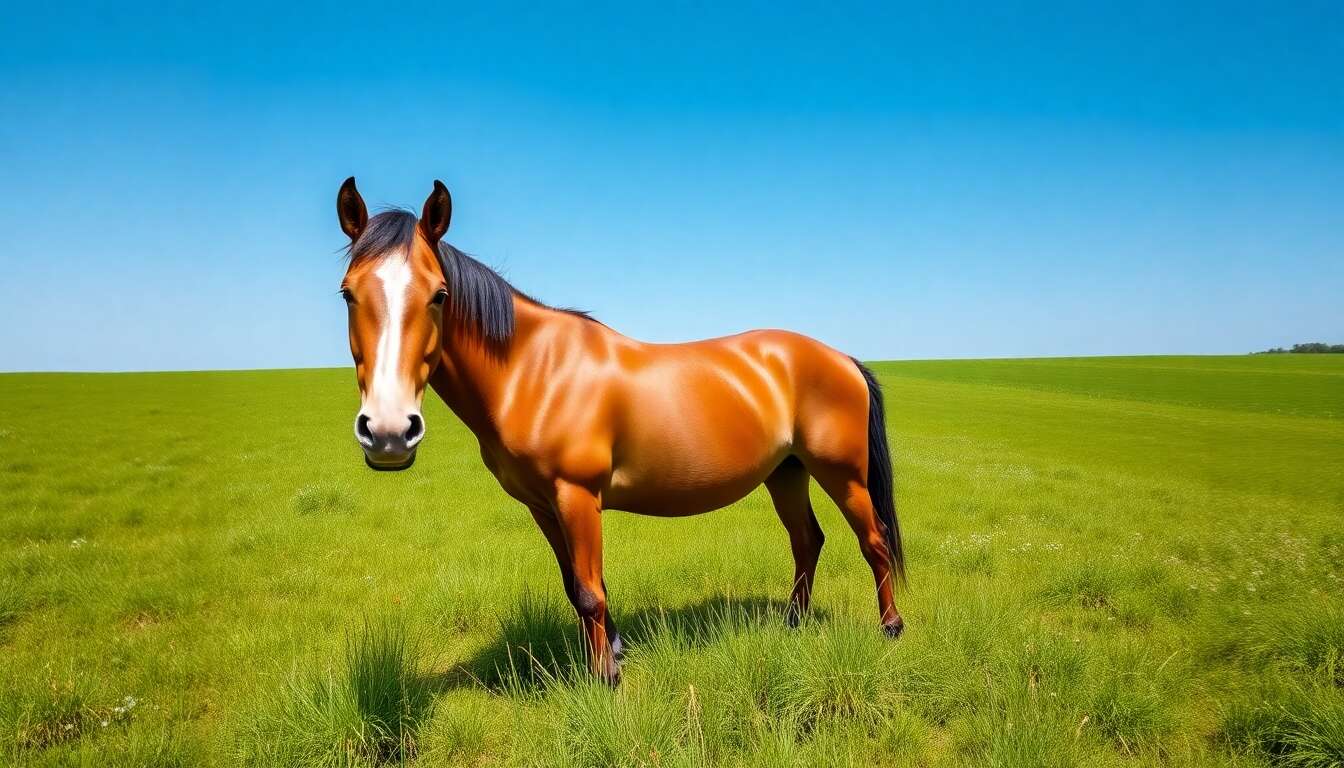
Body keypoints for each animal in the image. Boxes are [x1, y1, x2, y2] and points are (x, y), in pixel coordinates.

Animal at [334, 177, 905, 684]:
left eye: (439, 294)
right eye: (347, 294)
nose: (389, 432)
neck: (533, 369)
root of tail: (843, 359)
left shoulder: (578, 496)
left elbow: (590, 591)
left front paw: (605, 677)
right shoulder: (544, 505)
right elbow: (578, 585)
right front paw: (614, 653)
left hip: (843, 475)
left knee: (873, 541)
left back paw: (891, 628)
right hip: (786, 472)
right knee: (807, 541)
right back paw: (792, 623)